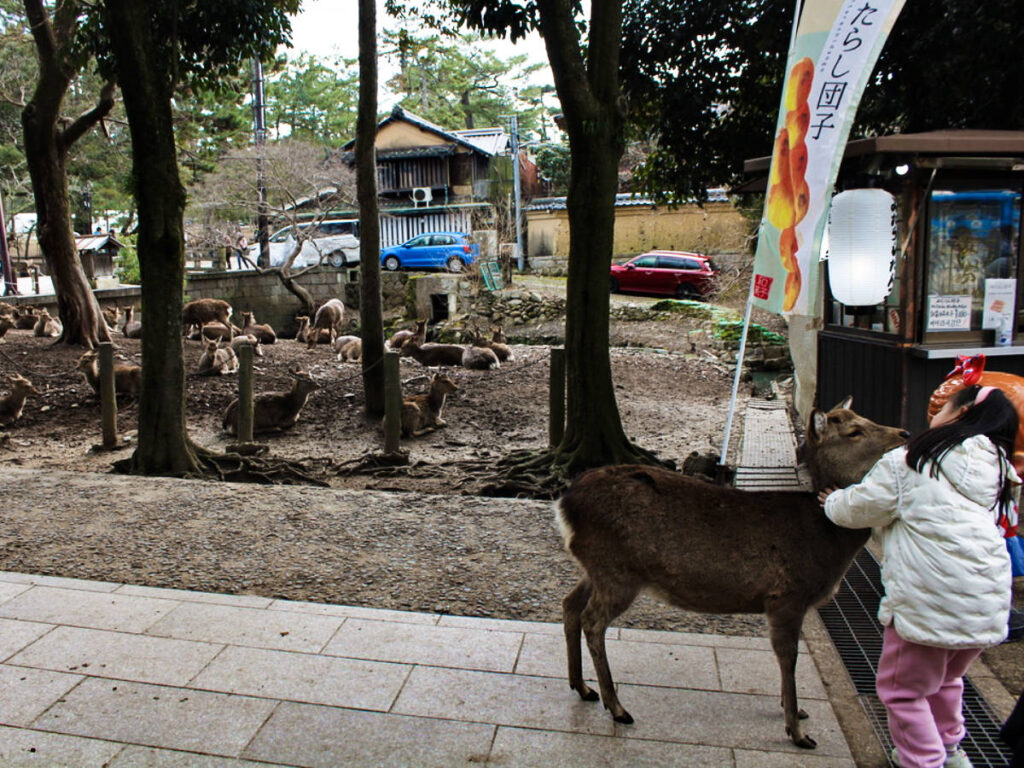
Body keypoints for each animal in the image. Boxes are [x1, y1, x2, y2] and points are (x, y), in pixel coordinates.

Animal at [556, 397, 908, 750]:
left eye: (864, 417)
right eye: (854, 431)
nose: (904, 433)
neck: (826, 541)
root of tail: (564, 504)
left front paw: (795, 710)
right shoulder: (787, 596)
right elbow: (788, 656)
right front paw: (797, 731)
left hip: (597, 567)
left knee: (570, 603)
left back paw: (583, 687)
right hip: (617, 571)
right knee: (592, 620)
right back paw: (616, 706)